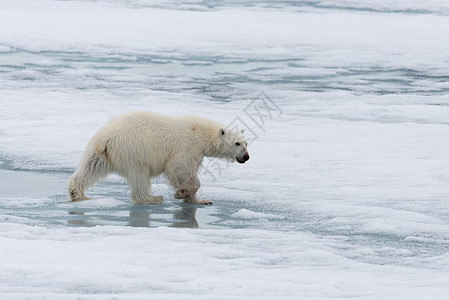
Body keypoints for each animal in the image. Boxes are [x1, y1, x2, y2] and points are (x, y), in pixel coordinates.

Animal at [68, 111, 248, 205]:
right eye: (237, 143)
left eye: (247, 142)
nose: (246, 157)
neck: (202, 133)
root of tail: (106, 137)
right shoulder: (187, 146)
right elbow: (179, 168)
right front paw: (182, 193)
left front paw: (200, 200)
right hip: (134, 150)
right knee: (140, 176)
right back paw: (152, 198)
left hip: (100, 152)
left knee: (90, 168)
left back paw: (77, 193)